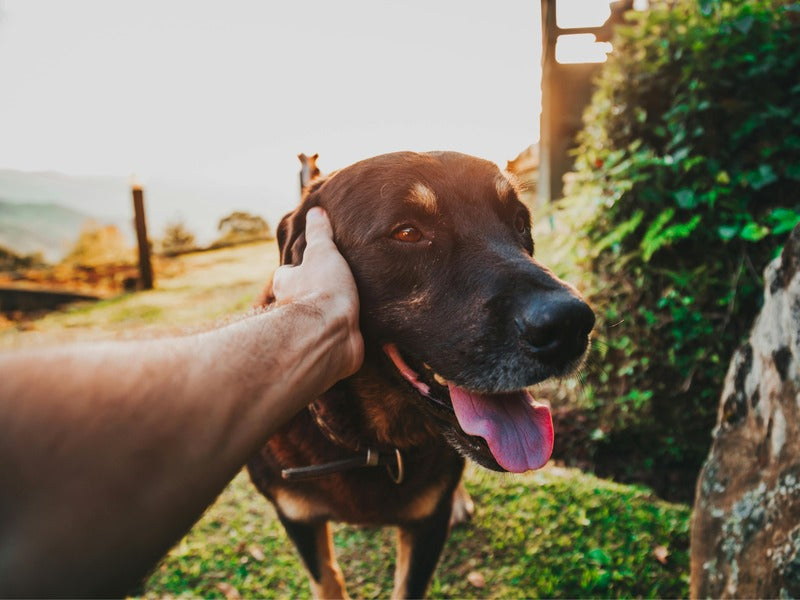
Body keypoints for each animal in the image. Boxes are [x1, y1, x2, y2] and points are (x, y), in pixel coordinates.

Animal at [247, 152, 592, 596]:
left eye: (519, 222)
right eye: (408, 232)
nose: (571, 326)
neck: (371, 445)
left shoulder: (428, 524)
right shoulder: (297, 517)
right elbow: (327, 579)